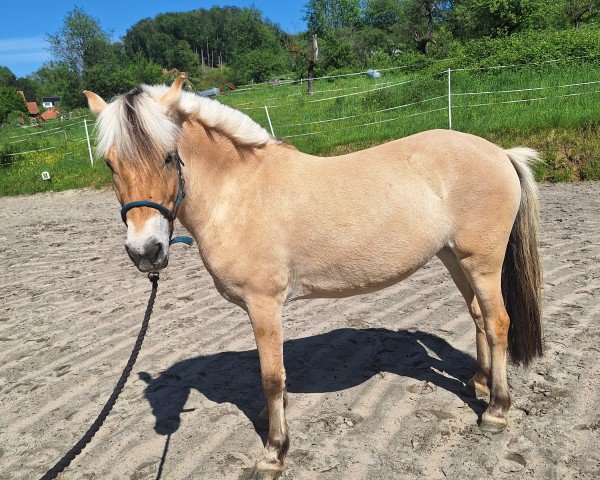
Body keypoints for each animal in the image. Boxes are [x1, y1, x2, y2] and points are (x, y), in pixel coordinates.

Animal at [84, 75, 544, 476]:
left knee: (498, 322)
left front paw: (274, 452)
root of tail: (501, 153)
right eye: (109, 164)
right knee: (478, 316)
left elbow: (271, 378)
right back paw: (479, 384)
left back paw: (496, 411)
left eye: (167, 156)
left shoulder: (264, 304)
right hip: (453, 258)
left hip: (481, 262)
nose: (146, 252)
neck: (240, 192)